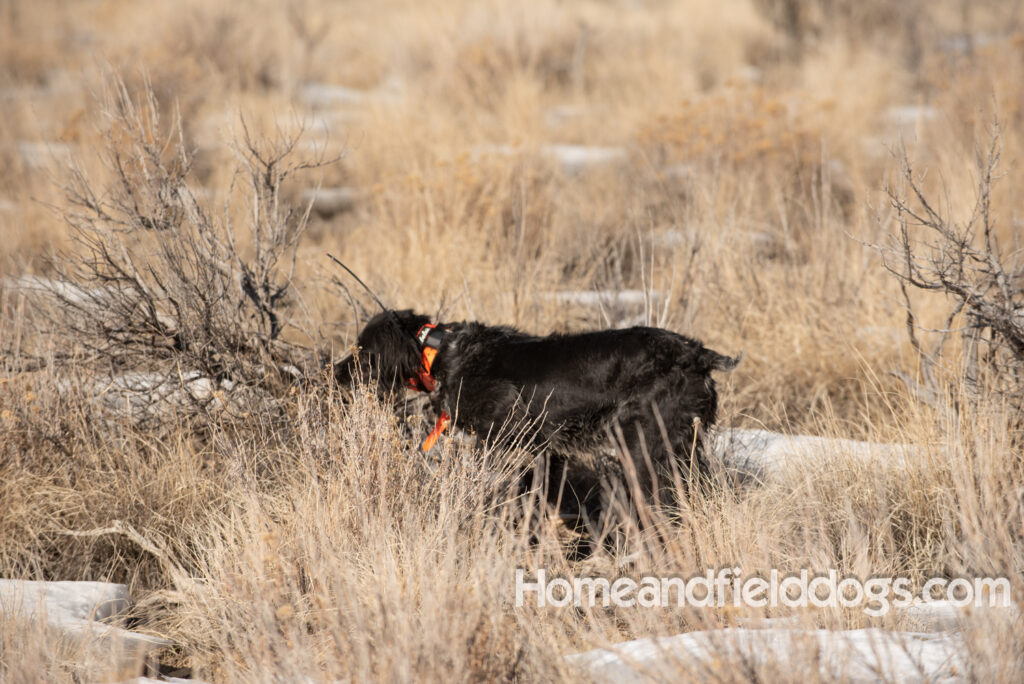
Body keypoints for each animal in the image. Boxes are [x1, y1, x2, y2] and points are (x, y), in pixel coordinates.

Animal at [333, 309, 737, 528]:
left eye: (362, 349)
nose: (335, 372)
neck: (445, 352)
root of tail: (697, 355)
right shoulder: (544, 452)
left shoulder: (506, 445)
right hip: (683, 447)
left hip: (642, 446)